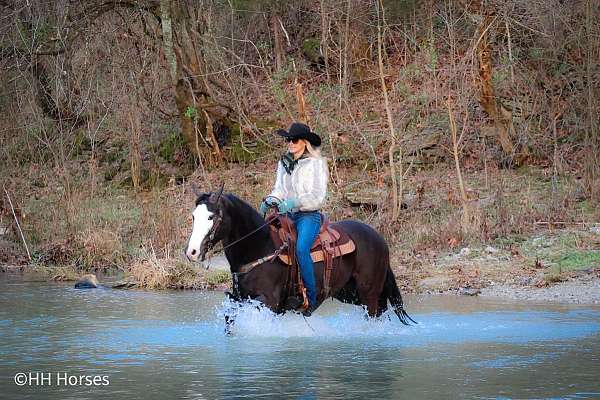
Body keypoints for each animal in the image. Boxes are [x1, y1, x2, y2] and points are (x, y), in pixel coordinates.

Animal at [185, 188, 414, 328]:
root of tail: (380, 239)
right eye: (194, 216)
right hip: (351, 293)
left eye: (211, 216)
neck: (260, 247)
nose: (192, 251)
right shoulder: (239, 298)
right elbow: (229, 317)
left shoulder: (269, 302)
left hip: (368, 293)